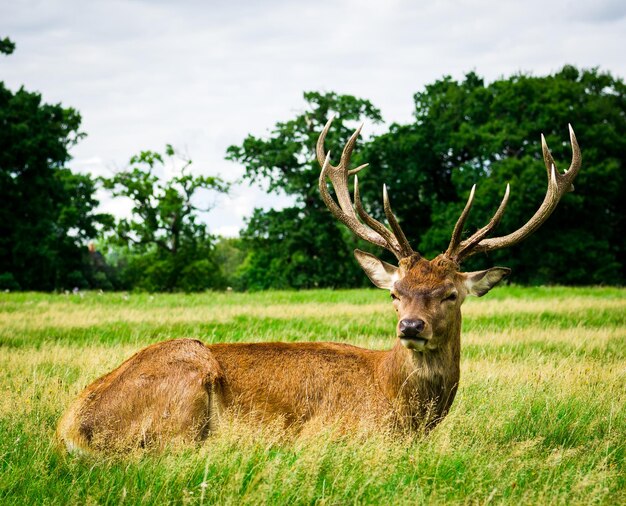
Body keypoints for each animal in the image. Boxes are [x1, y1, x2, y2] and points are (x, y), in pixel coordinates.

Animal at [56, 119, 576, 454]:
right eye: (394, 293)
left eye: (450, 294)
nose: (411, 326)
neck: (401, 406)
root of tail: (72, 428)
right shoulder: (331, 433)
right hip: (185, 389)